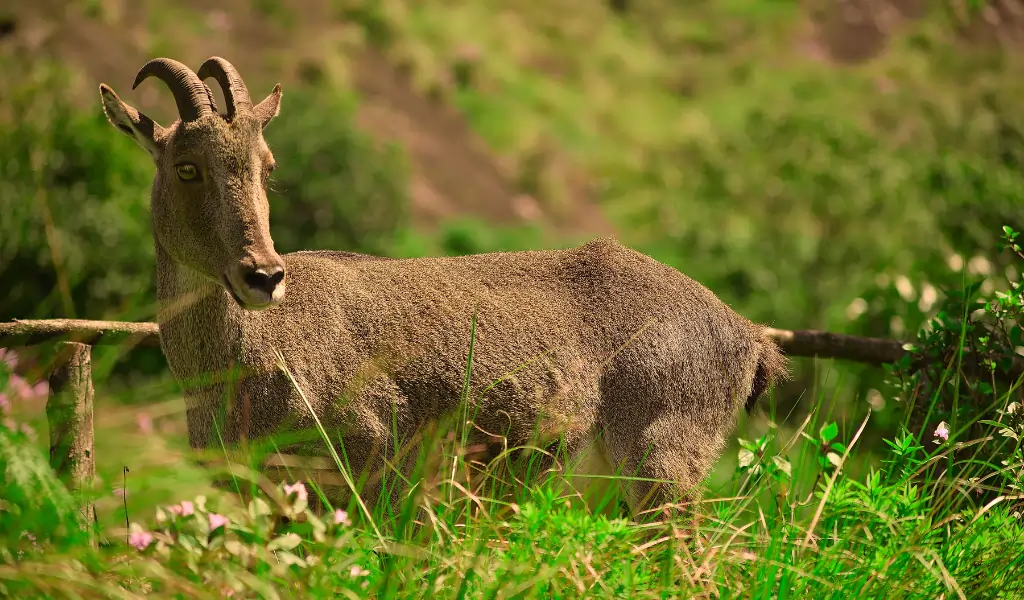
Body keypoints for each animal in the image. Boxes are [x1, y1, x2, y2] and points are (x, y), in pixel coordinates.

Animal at [98, 56, 788, 521]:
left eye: (266, 166)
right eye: (187, 167)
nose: (263, 275)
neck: (247, 357)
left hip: (664, 469)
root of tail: (750, 338)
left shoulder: (365, 463)